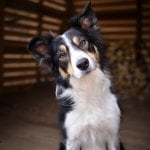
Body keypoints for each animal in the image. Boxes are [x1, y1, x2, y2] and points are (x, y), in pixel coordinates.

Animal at [27, 2, 123, 150]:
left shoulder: (113, 135)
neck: (88, 86)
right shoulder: (72, 139)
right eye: (61, 55)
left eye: (83, 42)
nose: (83, 64)